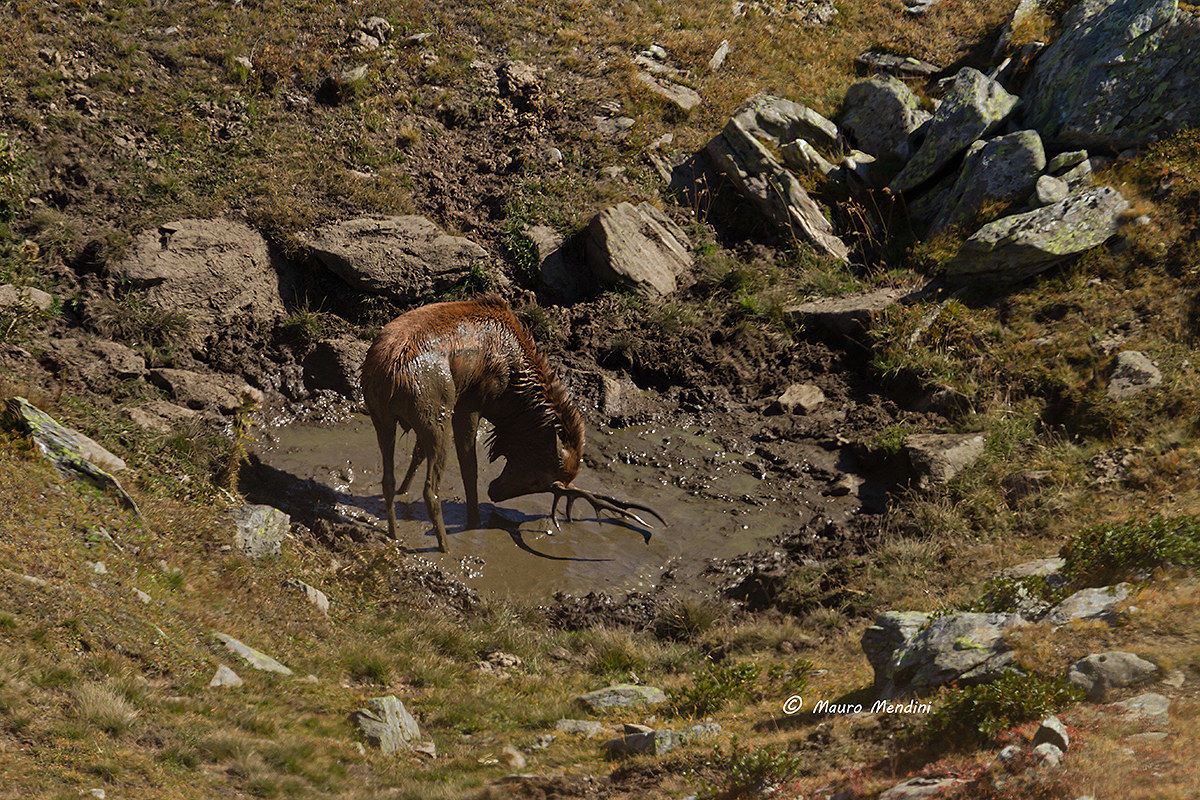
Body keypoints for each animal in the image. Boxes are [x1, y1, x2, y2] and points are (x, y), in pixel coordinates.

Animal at [361, 294, 665, 552]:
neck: (510, 393)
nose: (495, 492)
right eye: (540, 480)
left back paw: (394, 535)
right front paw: (474, 521)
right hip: (436, 412)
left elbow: (416, 455)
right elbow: (469, 470)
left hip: (383, 415)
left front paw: (404, 491)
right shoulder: (469, 404)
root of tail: (388, 374)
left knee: (387, 479)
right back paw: (445, 548)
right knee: (430, 490)